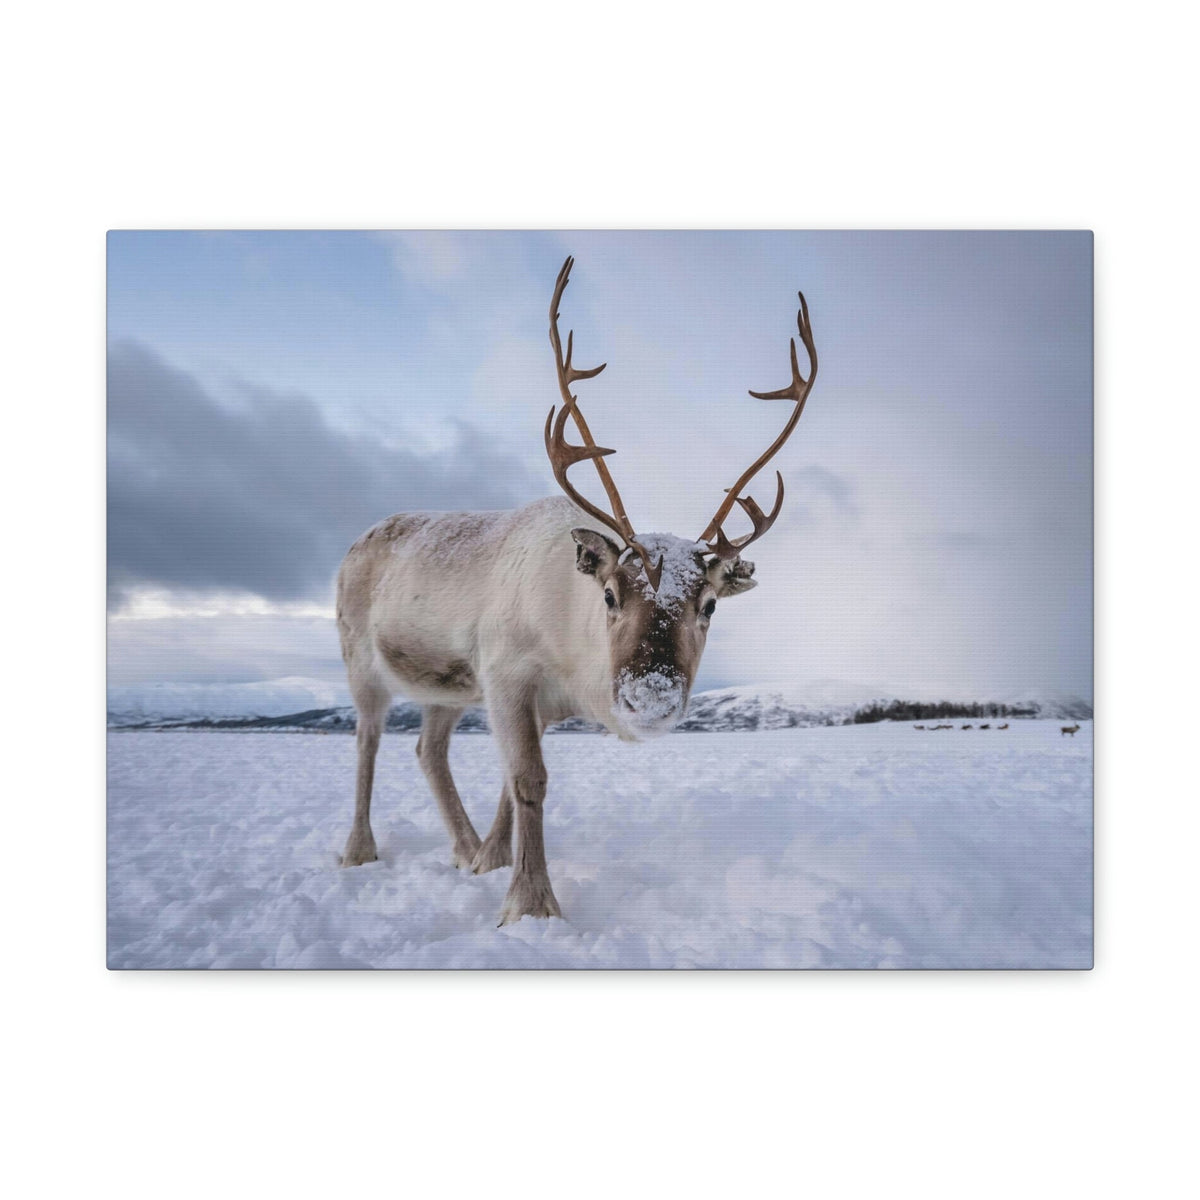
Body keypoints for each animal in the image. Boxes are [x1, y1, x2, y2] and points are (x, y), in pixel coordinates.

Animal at [335, 257, 818, 924]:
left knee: (428, 751)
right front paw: (531, 904)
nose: (650, 698)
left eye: (710, 604)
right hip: (361, 660)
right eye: (610, 595)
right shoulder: (507, 673)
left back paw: (463, 848)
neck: (571, 655)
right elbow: (528, 781)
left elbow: (511, 784)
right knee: (367, 742)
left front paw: (491, 862)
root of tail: (356, 543)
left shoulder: (530, 701)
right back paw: (359, 850)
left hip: (446, 688)